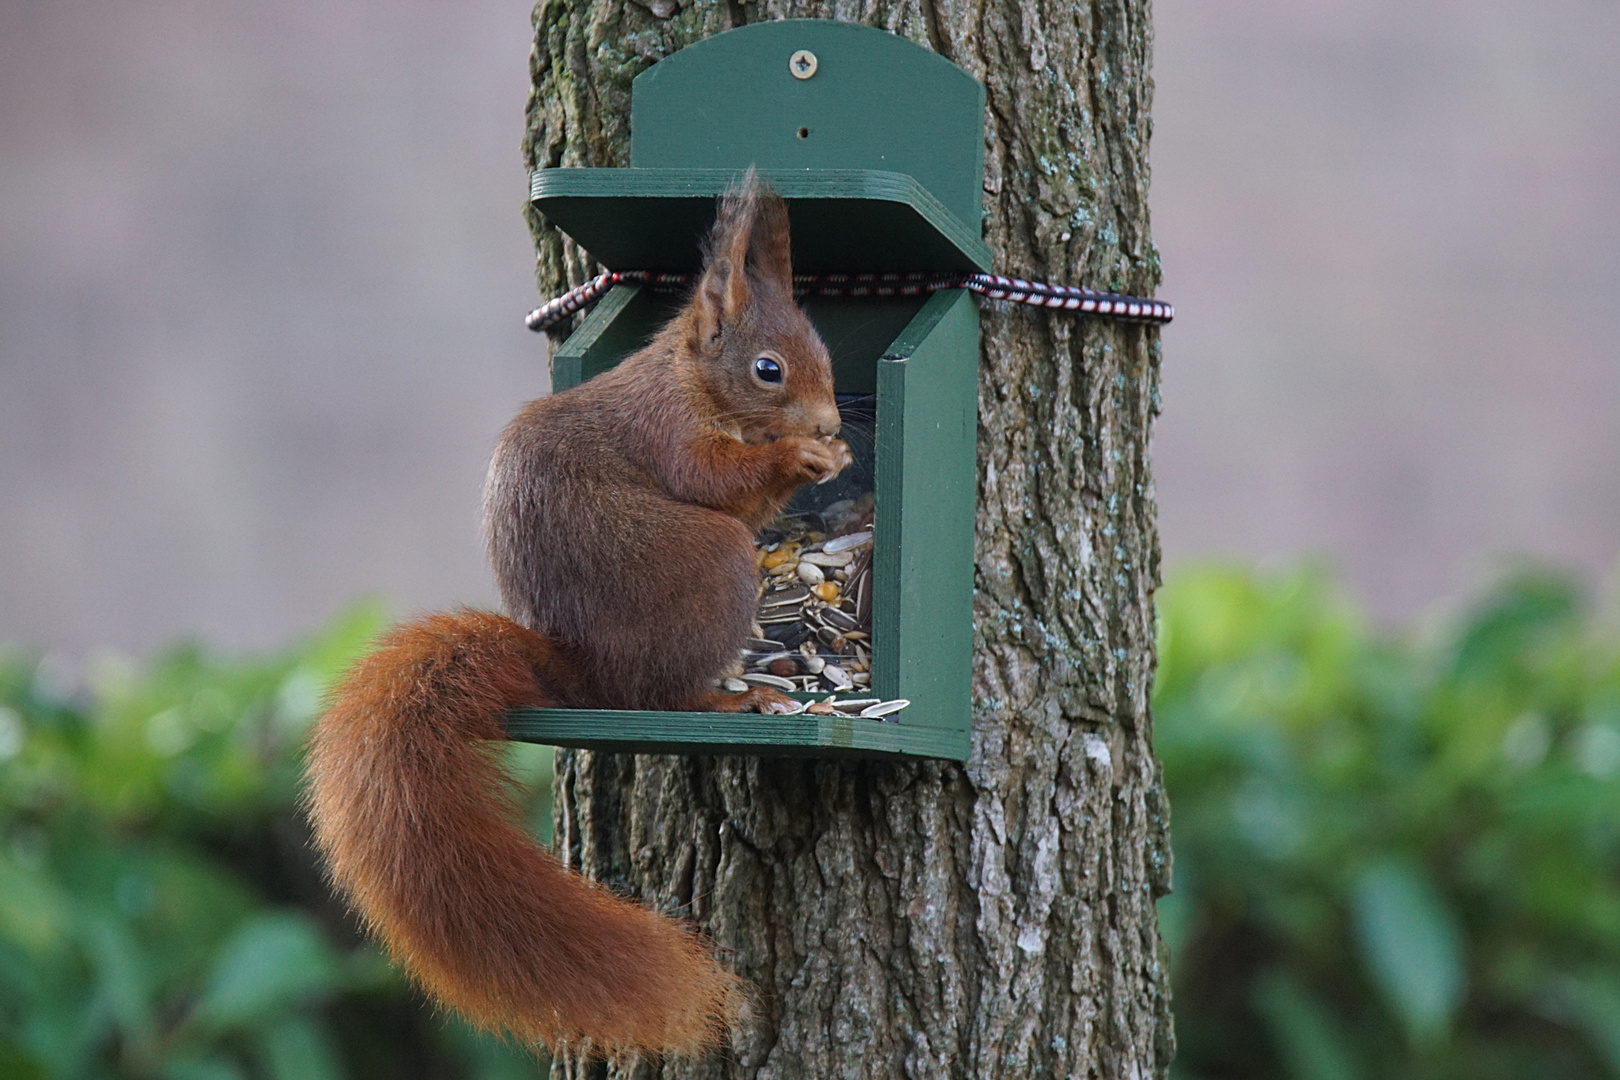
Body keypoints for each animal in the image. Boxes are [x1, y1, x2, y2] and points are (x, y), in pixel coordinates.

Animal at [306, 175, 861, 1055]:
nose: (832, 424)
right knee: (661, 694)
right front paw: (798, 458)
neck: (691, 378)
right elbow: (719, 483)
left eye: (827, 358)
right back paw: (728, 698)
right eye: (768, 369)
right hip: (708, 568)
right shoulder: (671, 432)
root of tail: (576, 671)